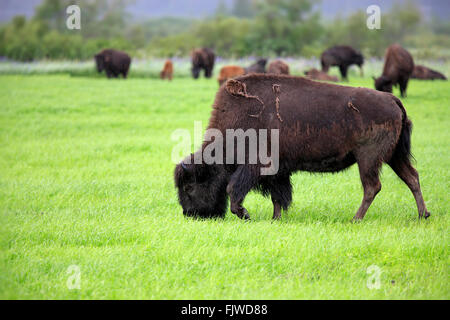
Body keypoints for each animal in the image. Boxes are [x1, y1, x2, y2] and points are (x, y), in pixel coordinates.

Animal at [174, 74, 430, 221]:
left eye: (189, 187)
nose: (190, 215)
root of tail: (392, 99)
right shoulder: (277, 171)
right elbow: (278, 196)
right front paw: (275, 219)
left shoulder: (255, 166)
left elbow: (233, 188)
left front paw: (245, 214)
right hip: (394, 156)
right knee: (412, 177)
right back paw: (422, 215)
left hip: (368, 158)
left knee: (372, 186)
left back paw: (356, 219)